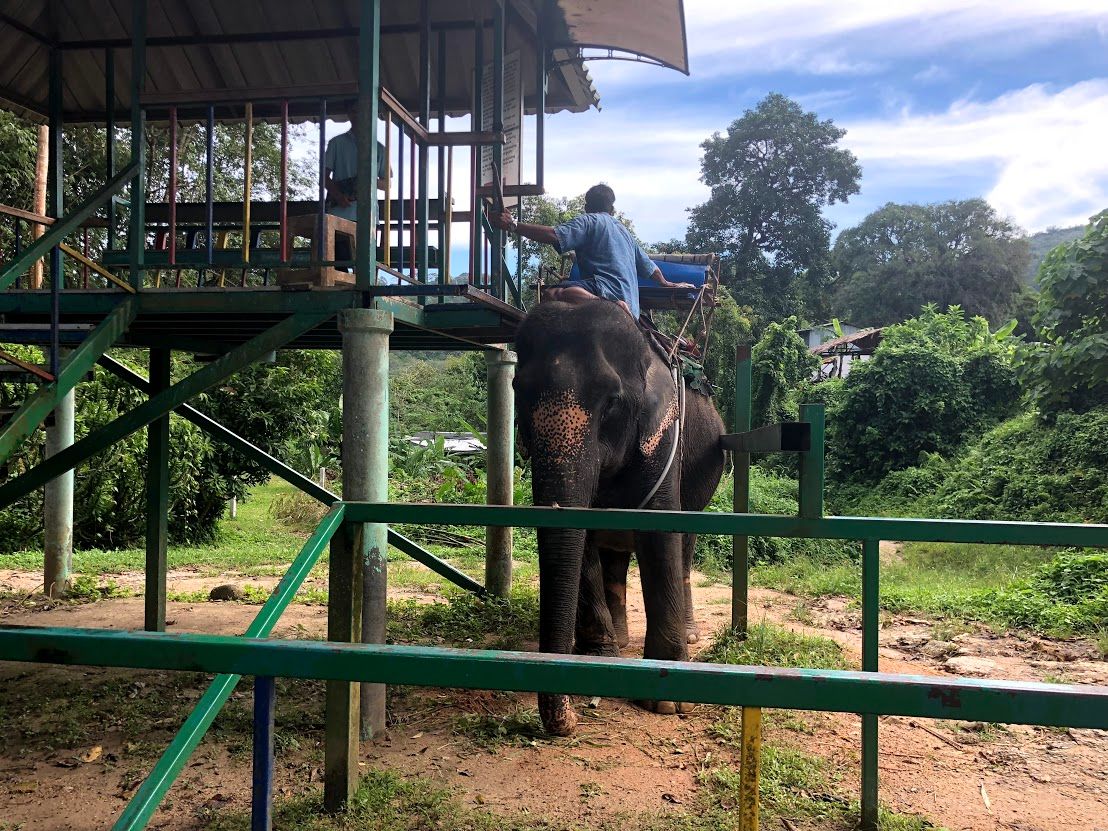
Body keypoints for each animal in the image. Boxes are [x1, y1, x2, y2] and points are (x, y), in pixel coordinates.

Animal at [513, 299, 726, 736]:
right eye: (517, 393)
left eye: (611, 402)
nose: (571, 718)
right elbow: (583, 540)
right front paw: (597, 657)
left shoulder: (663, 439)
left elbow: (660, 535)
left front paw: (667, 701)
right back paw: (621, 642)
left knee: (684, 546)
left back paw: (690, 635)